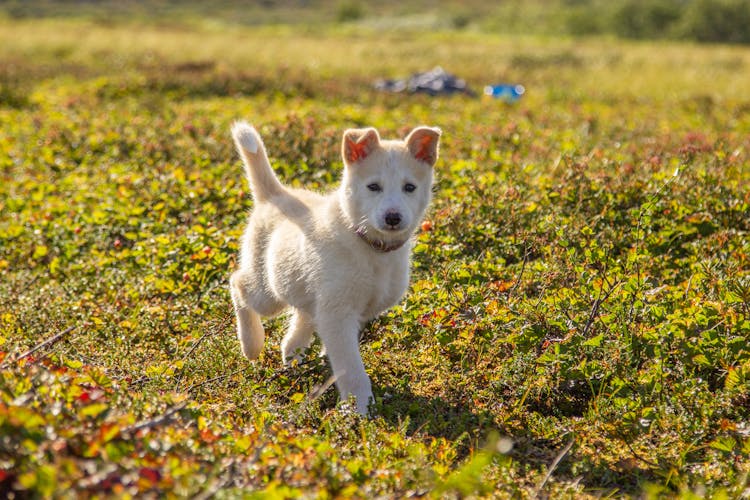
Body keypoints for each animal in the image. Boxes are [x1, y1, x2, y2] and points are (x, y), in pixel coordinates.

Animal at [229, 121, 440, 414]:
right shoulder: (338, 314)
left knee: (303, 316)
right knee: (238, 283)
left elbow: (341, 357)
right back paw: (252, 344)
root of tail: (275, 195)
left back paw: (292, 352)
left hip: (302, 287)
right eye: (373, 186)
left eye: (409, 187)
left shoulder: (352, 312)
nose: (393, 218)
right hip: (267, 293)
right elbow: (351, 367)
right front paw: (359, 408)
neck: (370, 246)